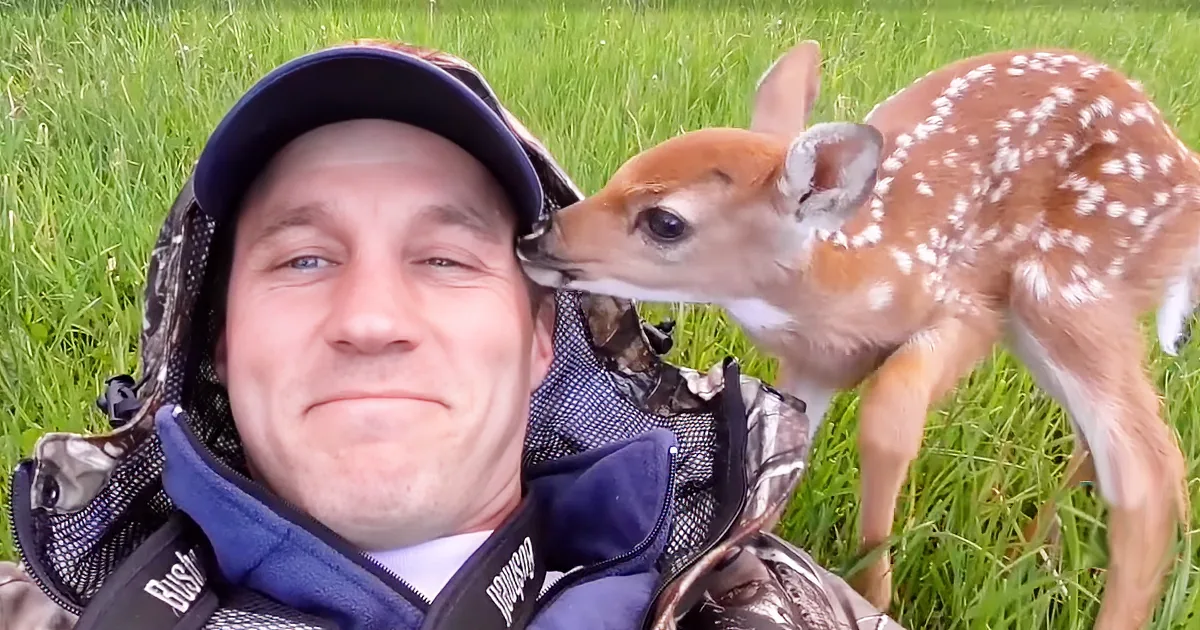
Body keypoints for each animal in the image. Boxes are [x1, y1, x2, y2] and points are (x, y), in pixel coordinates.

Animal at [516, 40, 1195, 629]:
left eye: (665, 222)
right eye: (621, 173)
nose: (538, 236)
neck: (849, 284)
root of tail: (1183, 167)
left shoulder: (970, 307)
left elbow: (889, 413)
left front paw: (875, 590)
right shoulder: (812, 367)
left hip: (1069, 287)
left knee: (1148, 469)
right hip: (1048, 323)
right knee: (1101, 444)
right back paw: (1032, 558)